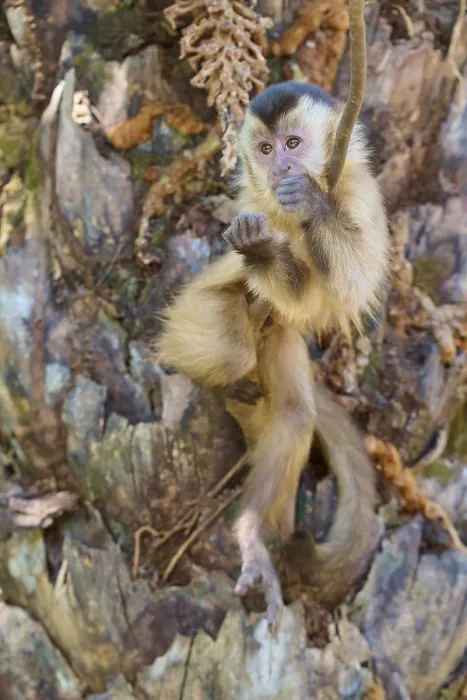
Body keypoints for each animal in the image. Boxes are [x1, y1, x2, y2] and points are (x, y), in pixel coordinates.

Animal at [156, 82, 390, 630]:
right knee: (231, 347)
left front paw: (310, 207)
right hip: (189, 318)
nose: (281, 168)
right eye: (265, 150)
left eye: (293, 144)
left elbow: (351, 284)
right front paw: (263, 253)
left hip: (280, 340)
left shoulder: (361, 193)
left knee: (295, 412)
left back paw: (255, 530)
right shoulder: (251, 204)